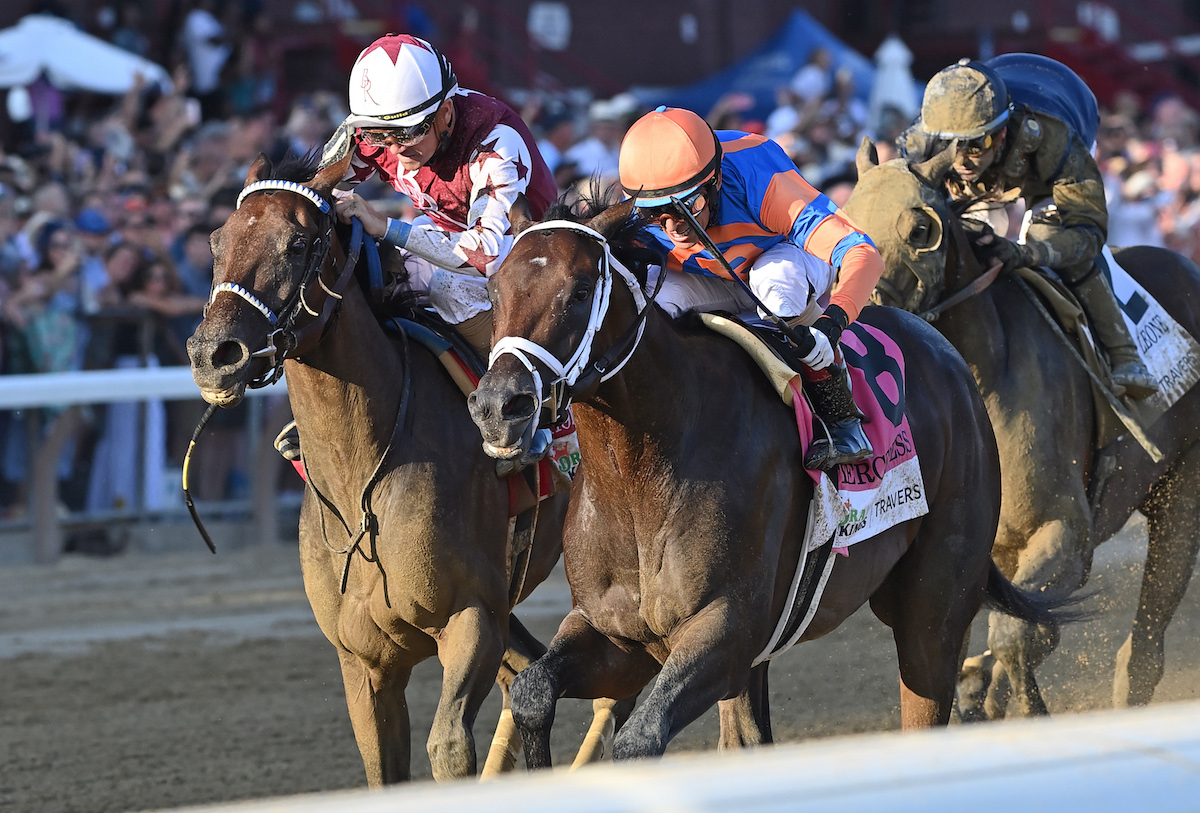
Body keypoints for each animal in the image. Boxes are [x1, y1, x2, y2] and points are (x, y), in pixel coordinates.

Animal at [186, 151, 571, 781]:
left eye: (298, 242)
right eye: (218, 241)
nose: (213, 355)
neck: (361, 484)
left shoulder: (472, 619)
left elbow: (450, 749)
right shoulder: (364, 662)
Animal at [468, 195, 1060, 762]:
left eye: (580, 289)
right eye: (494, 290)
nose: (499, 405)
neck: (642, 477)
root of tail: (946, 353)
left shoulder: (725, 631)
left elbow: (640, 737)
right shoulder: (618, 635)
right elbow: (532, 692)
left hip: (933, 606)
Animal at [840, 141, 1200, 719]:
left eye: (919, 230)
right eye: (845, 221)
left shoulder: (1065, 533)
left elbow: (1018, 636)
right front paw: (975, 690)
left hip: (1181, 490)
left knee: (1144, 644)